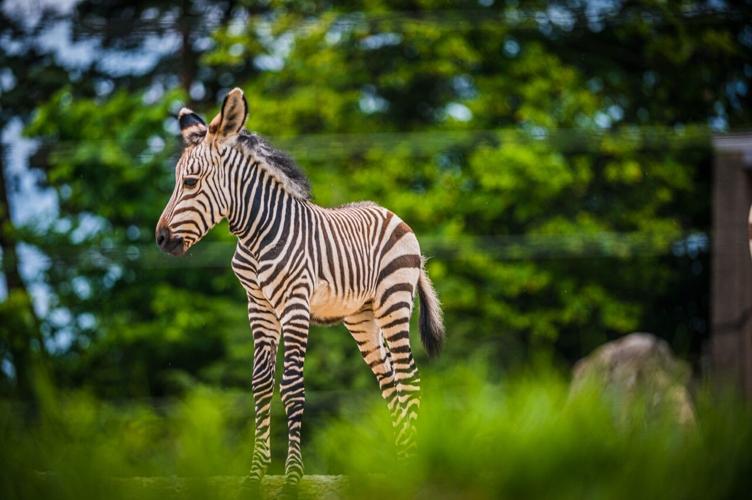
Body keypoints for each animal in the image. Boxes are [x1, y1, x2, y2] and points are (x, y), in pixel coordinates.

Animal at [155, 88, 444, 490]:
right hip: (360, 316)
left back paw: (412, 468)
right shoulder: (258, 307)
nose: (161, 239)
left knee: (408, 377)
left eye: (190, 183)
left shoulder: (295, 306)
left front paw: (292, 477)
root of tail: (392, 214)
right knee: (389, 380)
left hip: (393, 301)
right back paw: (398, 466)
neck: (256, 237)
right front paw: (255, 474)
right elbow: (261, 383)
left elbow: (292, 386)